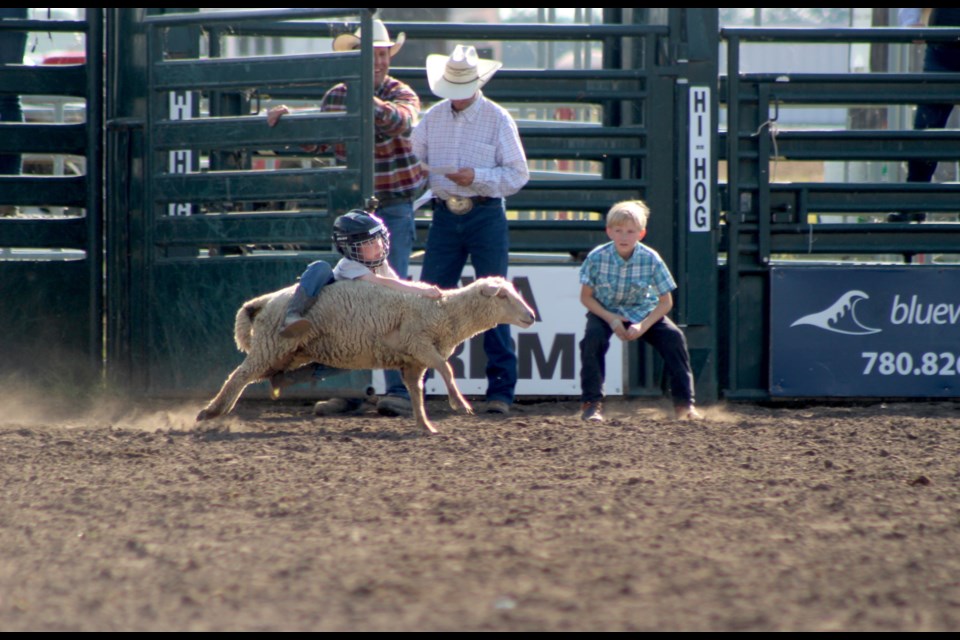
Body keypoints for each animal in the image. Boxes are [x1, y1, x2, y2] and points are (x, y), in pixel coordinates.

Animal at [195, 276, 540, 436]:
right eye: (503, 296)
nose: (532, 316)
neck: (445, 311)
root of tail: (263, 302)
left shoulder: (413, 361)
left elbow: (417, 391)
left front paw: (425, 424)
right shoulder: (419, 343)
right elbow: (447, 369)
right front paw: (460, 404)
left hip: (286, 352)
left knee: (258, 375)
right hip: (271, 345)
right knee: (238, 377)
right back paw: (211, 412)